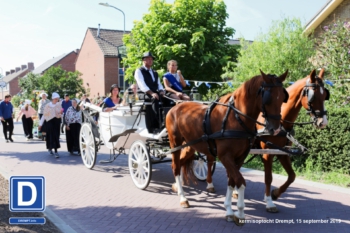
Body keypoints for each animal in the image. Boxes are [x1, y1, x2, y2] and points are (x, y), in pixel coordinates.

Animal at [165, 70, 288, 225]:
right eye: (267, 98)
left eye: (282, 97)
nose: (276, 129)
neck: (235, 119)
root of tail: (175, 107)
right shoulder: (225, 156)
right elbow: (240, 181)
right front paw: (240, 213)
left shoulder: (239, 157)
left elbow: (232, 180)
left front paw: (229, 210)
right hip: (175, 144)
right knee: (175, 167)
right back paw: (183, 198)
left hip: (190, 146)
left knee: (180, 163)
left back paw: (178, 187)